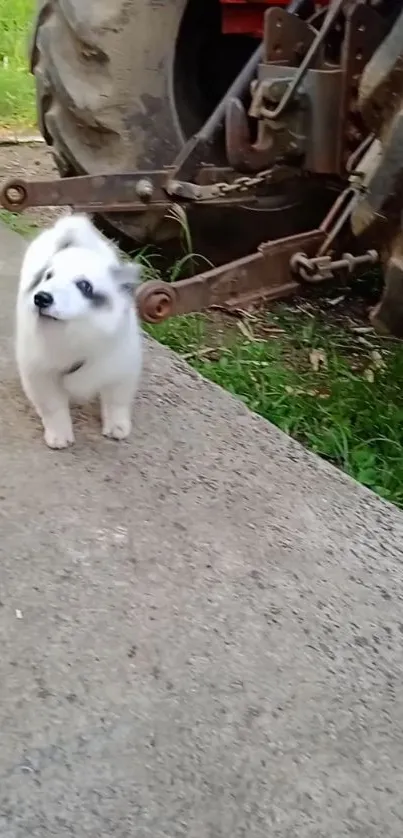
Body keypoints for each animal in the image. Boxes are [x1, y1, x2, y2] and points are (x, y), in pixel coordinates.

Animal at [16, 217, 143, 452]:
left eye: (85, 285)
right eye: (48, 276)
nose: (41, 298)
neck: (74, 332)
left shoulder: (122, 369)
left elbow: (117, 402)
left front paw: (117, 426)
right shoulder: (40, 374)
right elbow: (53, 408)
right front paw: (59, 435)